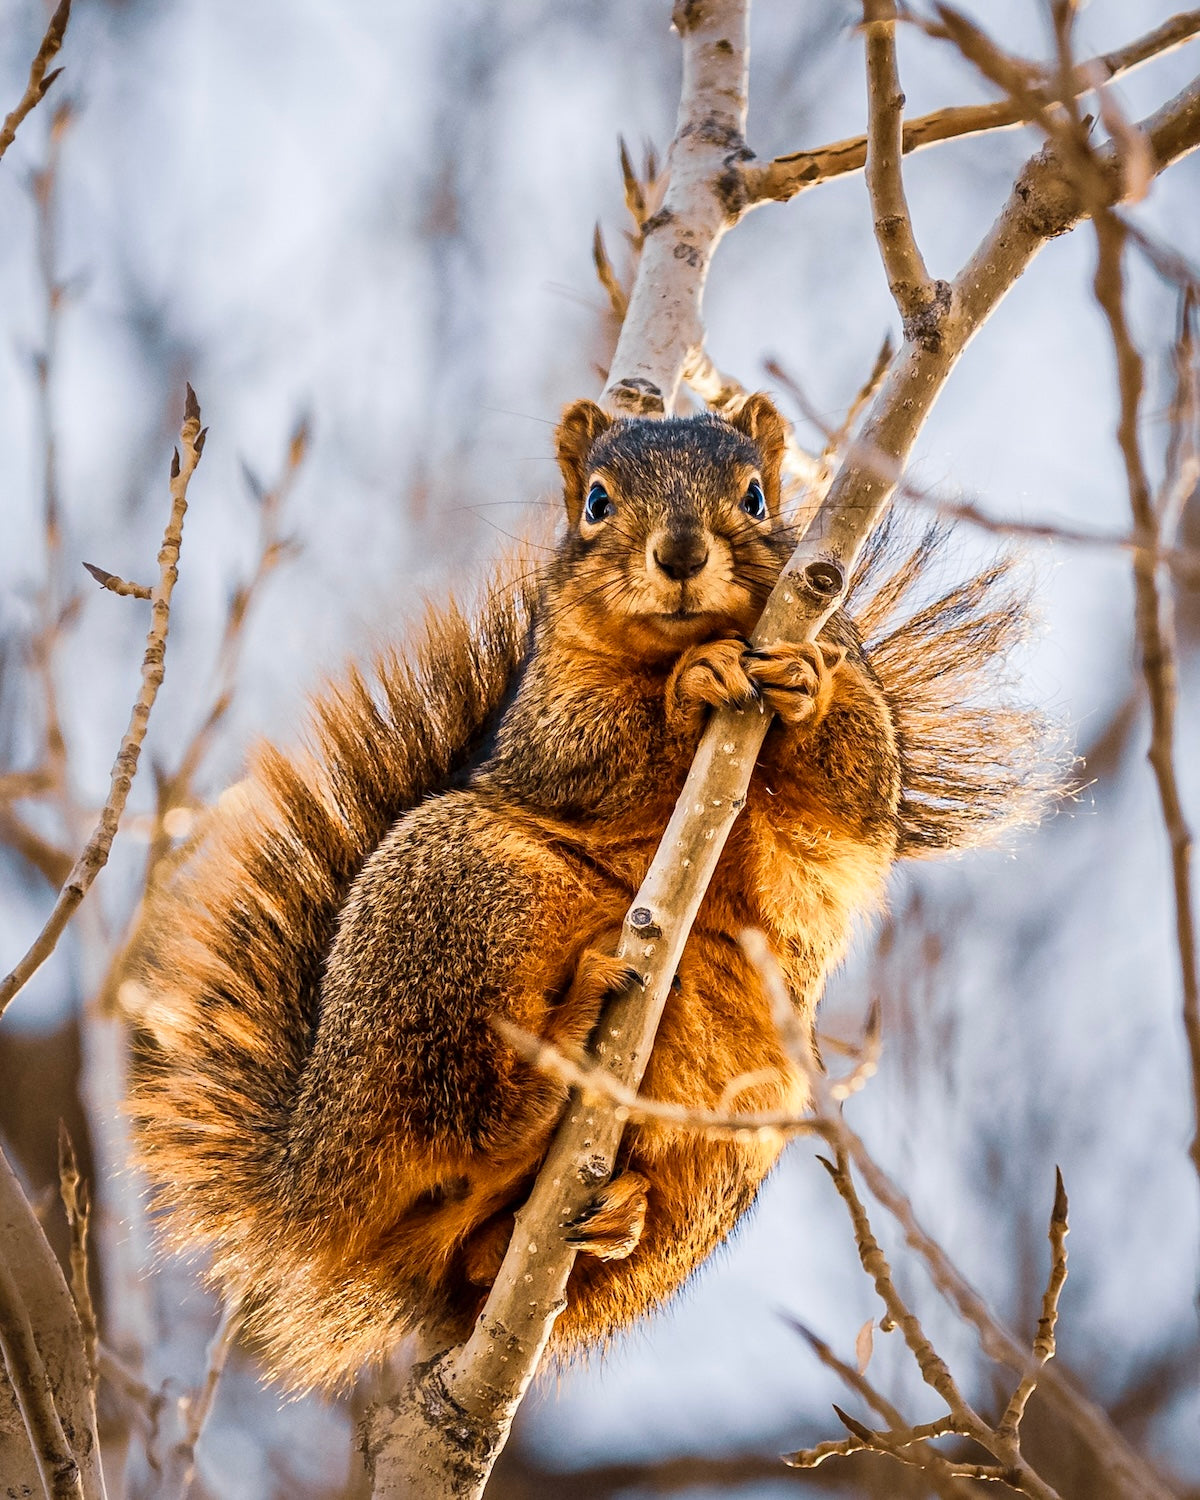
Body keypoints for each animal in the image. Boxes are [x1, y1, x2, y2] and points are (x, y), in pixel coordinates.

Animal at [131, 394, 1048, 1392]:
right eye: (598, 503)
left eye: (757, 497)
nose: (681, 552)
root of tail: (306, 1176)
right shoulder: (546, 718)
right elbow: (590, 744)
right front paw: (692, 685)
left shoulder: (845, 759)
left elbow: (857, 794)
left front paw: (807, 686)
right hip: (466, 896)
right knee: (463, 1119)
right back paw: (552, 1062)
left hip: (743, 1112)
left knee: (490, 1254)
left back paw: (608, 1222)